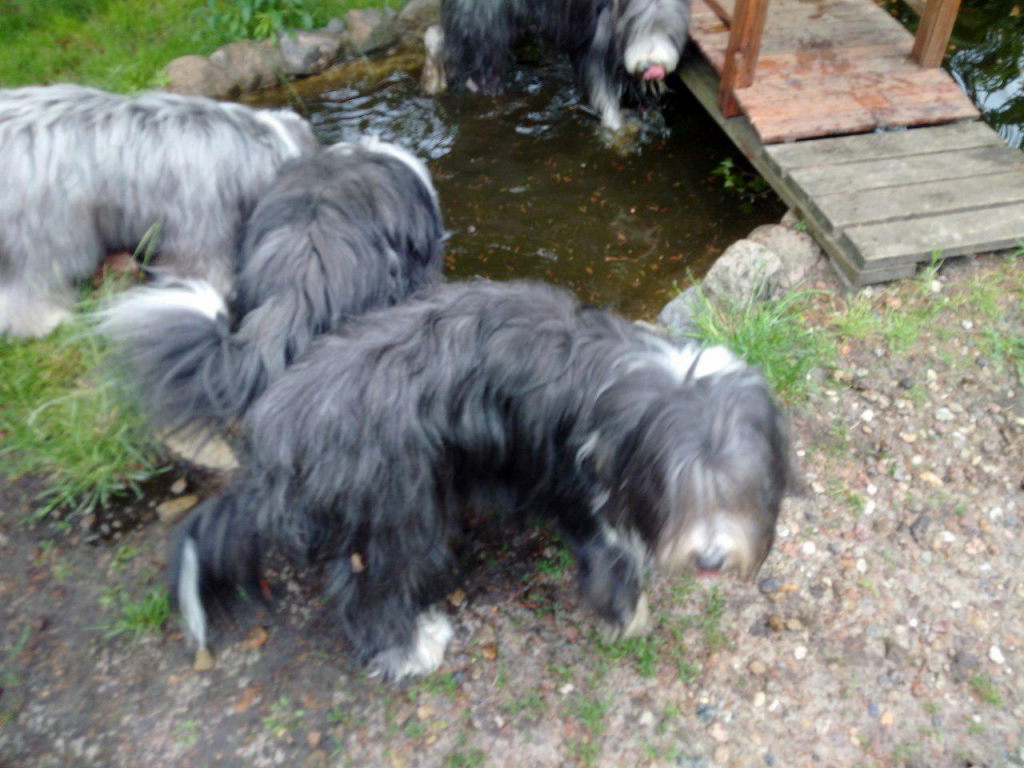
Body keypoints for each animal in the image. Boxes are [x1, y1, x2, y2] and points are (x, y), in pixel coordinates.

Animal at [419, 0, 692, 131]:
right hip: (488, 27)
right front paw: (618, 132)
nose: (651, 67)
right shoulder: (595, 48)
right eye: (635, 21)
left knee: (438, 36)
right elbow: (604, 97)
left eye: (672, 28)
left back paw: (433, 81)